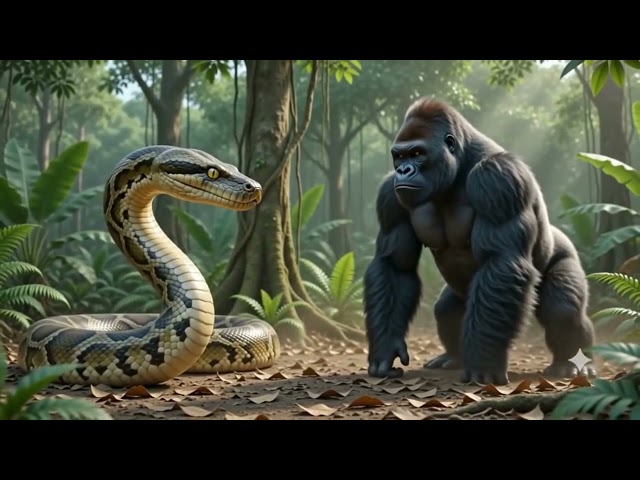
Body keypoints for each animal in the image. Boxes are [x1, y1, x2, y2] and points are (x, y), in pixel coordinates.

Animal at [363, 97, 597, 385]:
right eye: (400, 155)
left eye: (417, 153)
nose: (404, 171)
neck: (459, 164)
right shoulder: (389, 194)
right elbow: (395, 266)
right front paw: (386, 348)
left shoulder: (499, 179)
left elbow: (502, 262)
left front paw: (483, 361)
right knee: (446, 309)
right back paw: (453, 357)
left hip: (566, 254)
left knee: (562, 310)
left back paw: (571, 361)